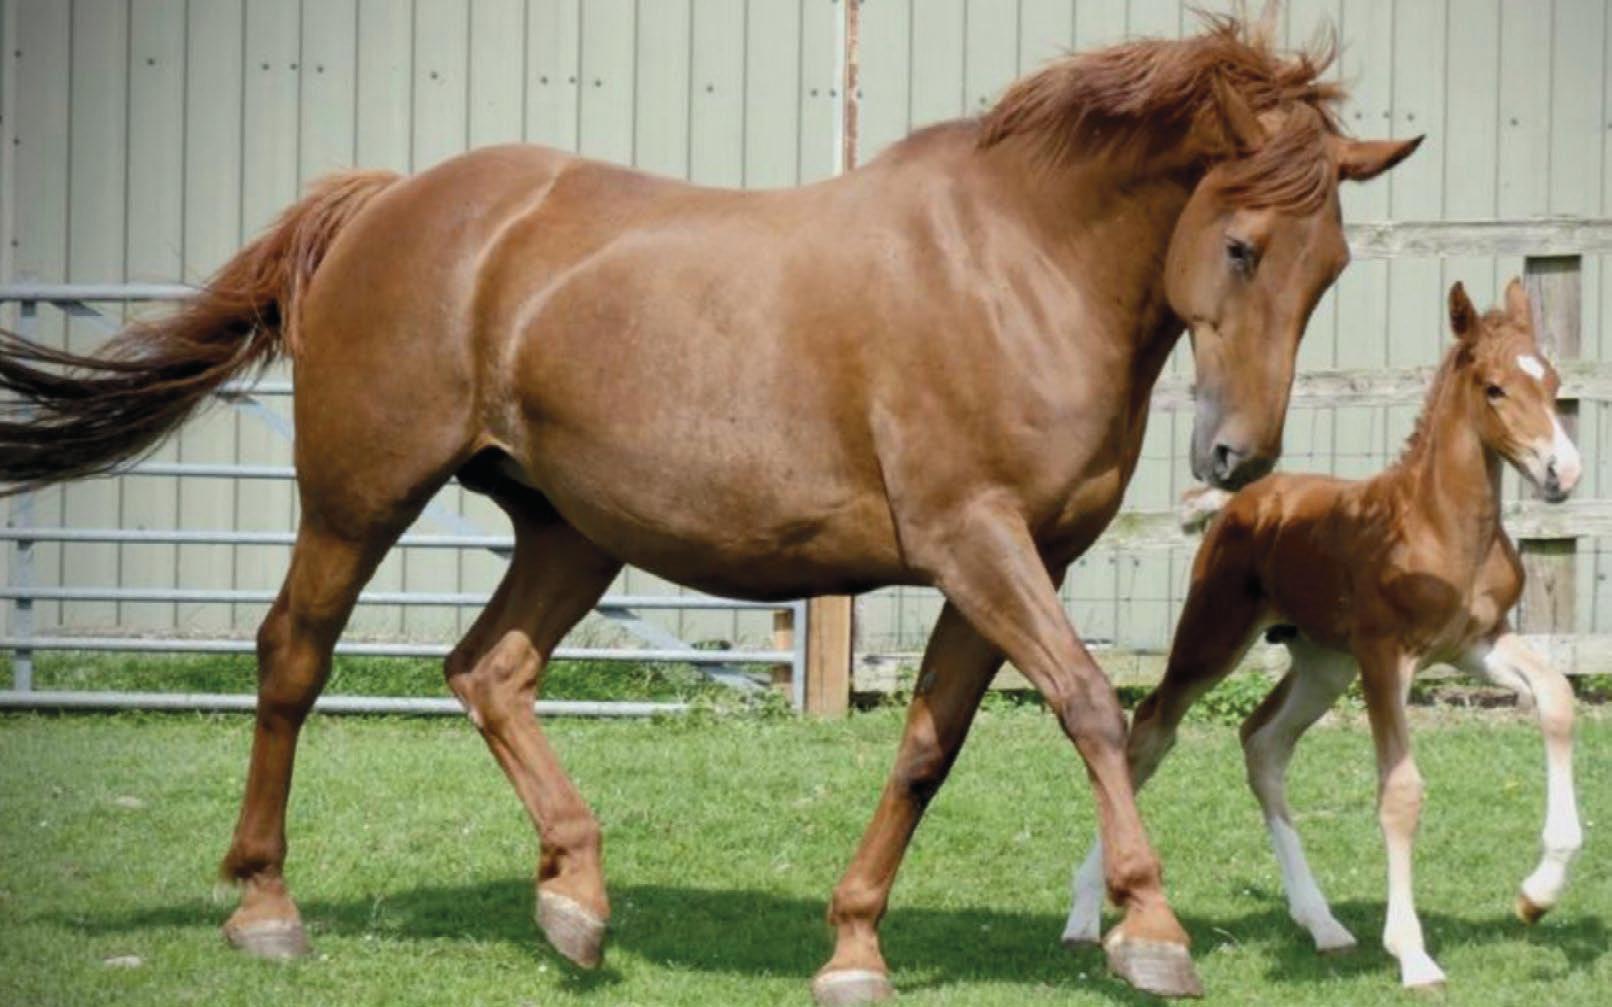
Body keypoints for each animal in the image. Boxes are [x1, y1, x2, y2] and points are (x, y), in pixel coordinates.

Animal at [0, 10, 1420, 1002]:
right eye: (1237, 244)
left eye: (1331, 265)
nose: (1236, 455)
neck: (1012, 266)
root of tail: (387, 203)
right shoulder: (976, 540)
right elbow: (1084, 703)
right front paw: (1150, 927)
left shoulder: (1015, 561)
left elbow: (929, 742)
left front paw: (852, 945)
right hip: (358, 498)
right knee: (293, 656)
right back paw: (266, 905)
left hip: (568, 530)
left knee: (488, 670)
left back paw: (574, 896)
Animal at [1063, 280, 1583, 991]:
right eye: (1496, 388)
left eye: (1553, 382)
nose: (1564, 473)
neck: (1440, 523)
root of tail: (1240, 502)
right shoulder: (1386, 655)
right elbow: (1400, 791)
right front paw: (1413, 955)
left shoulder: (1476, 643)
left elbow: (1557, 696)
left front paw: (1538, 894)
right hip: (1214, 638)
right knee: (1150, 730)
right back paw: (1086, 914)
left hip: (1321, 663)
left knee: (1262, 744)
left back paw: (1324, 924)